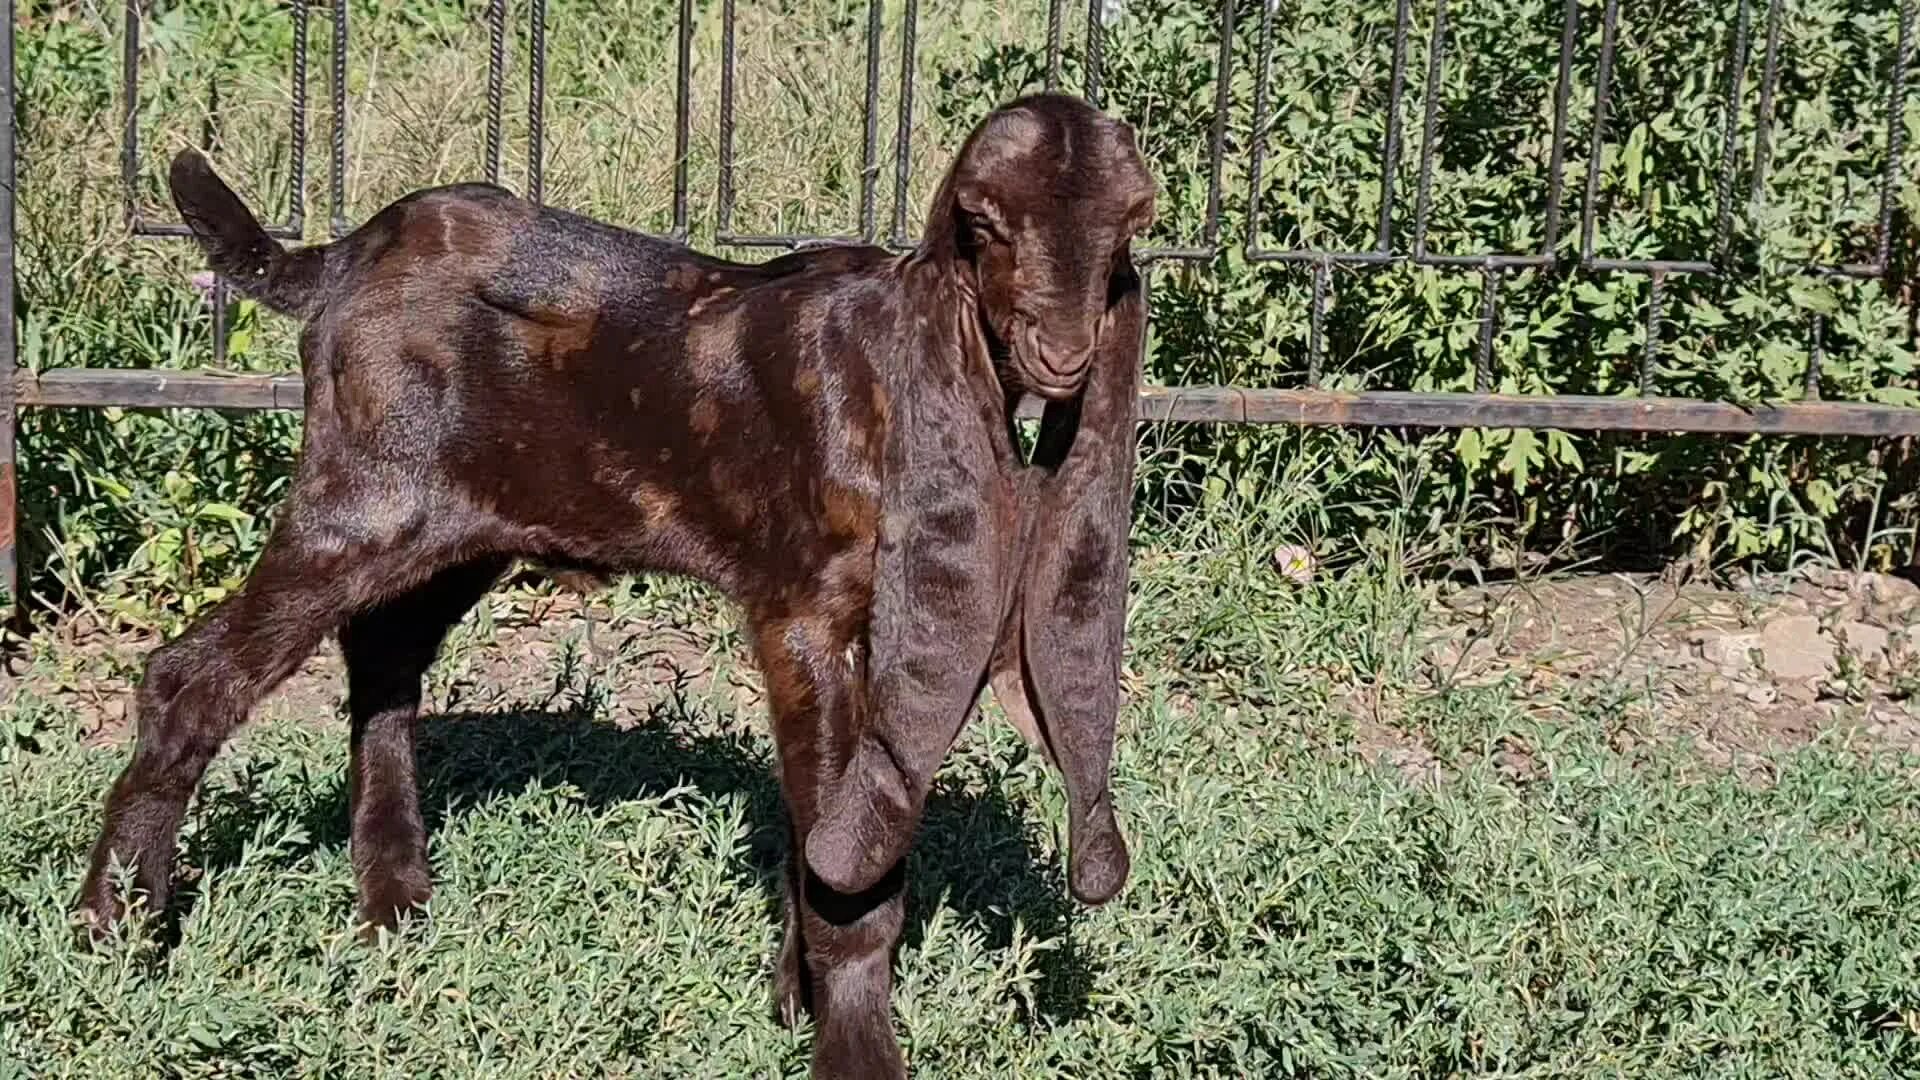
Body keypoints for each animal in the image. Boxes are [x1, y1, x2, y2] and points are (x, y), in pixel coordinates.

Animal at [74, 94, 1152, 1076]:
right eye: (984, 224)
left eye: (1127, 228)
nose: (1065, 356)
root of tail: (341, 258)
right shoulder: (798, 613)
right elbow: (848, 873)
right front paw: (848, 1044)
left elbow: (828, 825)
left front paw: (791, 1006)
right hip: (364, 502)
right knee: (192, 678)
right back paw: (115, 932)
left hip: (461, 527)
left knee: (383, 658)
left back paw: (395, 905)